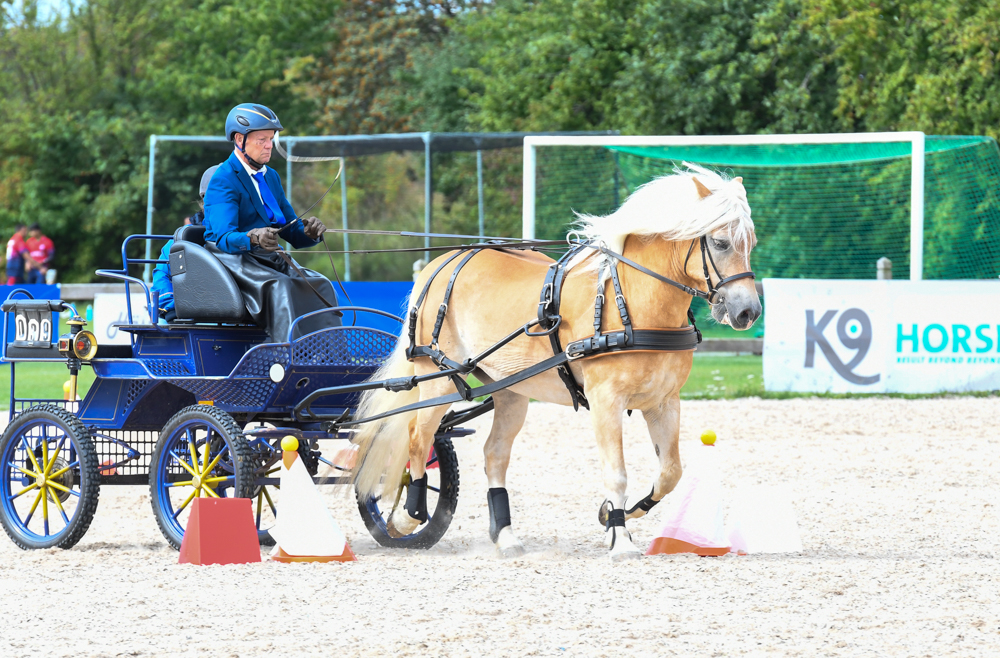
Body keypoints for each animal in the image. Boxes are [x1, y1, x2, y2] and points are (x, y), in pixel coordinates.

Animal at [352, 164, 756, 560]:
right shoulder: (605, 401)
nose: (748, 311)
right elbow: (617, 473)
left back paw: (505, 536)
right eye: (720, 243)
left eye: (750, 243)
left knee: (494, 454)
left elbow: (671, 472)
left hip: (510, 391)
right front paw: (621, 538)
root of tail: (439, 263)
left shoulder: (663, 401)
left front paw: (614, 514)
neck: (631, 303)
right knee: (417, 439)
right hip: (436, 378)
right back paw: (405, 516)